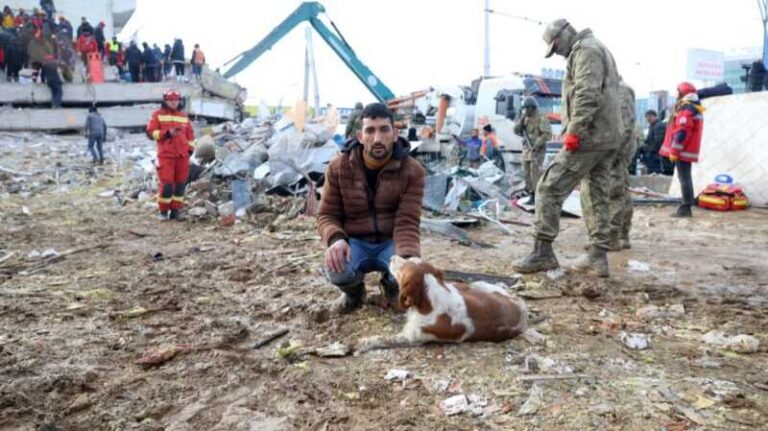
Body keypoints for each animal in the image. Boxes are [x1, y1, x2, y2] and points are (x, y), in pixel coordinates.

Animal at [358, 258, 528, 352]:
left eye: (403, 265)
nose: (392, 256)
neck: (429, 301)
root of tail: (521, 307)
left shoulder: (412, 338)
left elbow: (382, 339)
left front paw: (362, 344)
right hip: (479, 285)